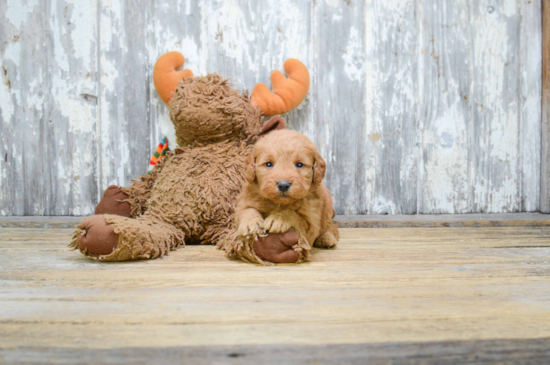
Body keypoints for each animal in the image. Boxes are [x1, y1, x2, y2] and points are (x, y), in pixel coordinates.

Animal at [237, 126, 340, 264]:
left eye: (299, 164)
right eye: (268, 164)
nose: (283, 185)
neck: (279, 203)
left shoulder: (311, 224)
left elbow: (295, 216)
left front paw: (279, 219)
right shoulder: (244, 201)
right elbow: (247, 210)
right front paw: (251, 224)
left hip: (327, 208)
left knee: (331, 226)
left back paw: (327, 239)